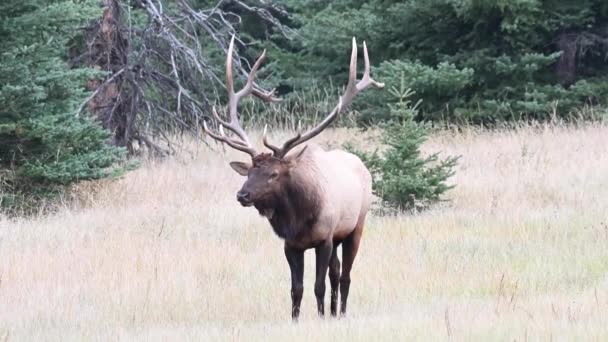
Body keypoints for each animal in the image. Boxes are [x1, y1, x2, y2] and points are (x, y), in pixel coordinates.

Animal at [205, 35, 384, 320]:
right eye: (250, 171)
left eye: (274, 173)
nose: (242, 194)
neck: (299, 219)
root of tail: (361, 164)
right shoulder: (291, 245)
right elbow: (296, 289)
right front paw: (297, 319)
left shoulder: (325, 239)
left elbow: (318, 286)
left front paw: (320, 317)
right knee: (336, 273)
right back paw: (334, 312)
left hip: (356, 226)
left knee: (345, 276)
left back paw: (341, 312)